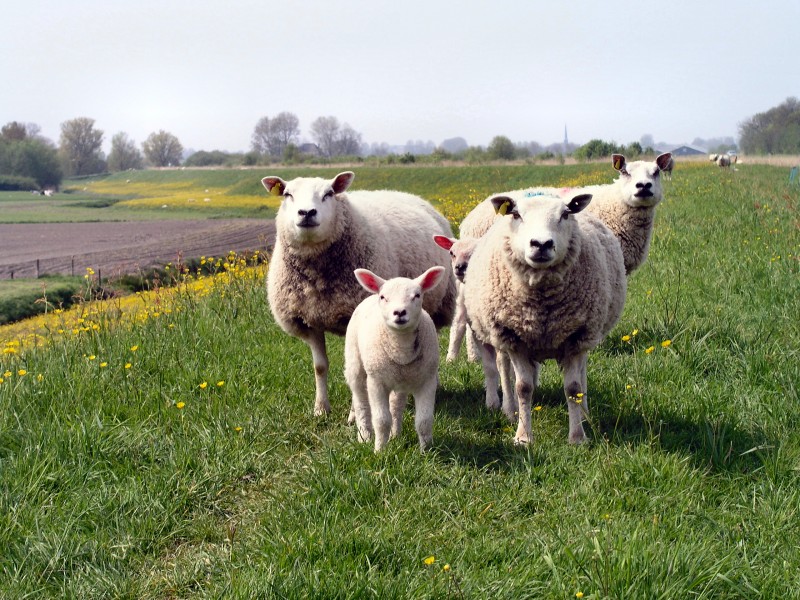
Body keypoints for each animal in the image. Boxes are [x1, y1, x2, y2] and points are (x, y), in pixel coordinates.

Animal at [262, 172, 456, 418]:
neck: (318, 279)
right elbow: (320, 367)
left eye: (329, 193)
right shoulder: (309, 321)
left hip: (438, 306)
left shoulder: (352, 319)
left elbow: (358, 370)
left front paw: (355, 415)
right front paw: (320, 409)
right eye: (288, 194)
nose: (306, 213)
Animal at [342, 264, 444, 452]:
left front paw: (426, 451)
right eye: (383, 297)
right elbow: (381, 420)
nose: (399, 312)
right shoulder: (376, 382)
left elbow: (424, 421)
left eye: (417, 295)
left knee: (396, 406)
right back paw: (364, 436)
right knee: (361, 401)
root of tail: (370, 296)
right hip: (355, 362)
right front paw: (379, 450)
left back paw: (395, 435)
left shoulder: (427, 380)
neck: (401, 347)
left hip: (401, 379)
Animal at [462, 192, 632, 446]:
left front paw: (577, 437)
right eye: (516, 214)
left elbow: (573, 388)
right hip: (500, 335)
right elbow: (523, 387)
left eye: (565, 214)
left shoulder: (577, 337)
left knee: (582, 373)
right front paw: (523, 437)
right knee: (503, 368)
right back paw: (510, 410)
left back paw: (585, 412)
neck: (542, 307)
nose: (541, 244)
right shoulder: (514, 339)